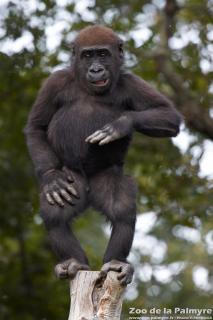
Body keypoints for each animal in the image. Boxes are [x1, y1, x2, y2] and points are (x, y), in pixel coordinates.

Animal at [25, 25, 181, 284]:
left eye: (103, 54)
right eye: (88, 55)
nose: (96, 69)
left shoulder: (131, 82)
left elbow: (168, 115)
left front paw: (121, 125)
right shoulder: (54, 82)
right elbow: (37, 127)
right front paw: (51, 177)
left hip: (105, 177)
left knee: (122, 211)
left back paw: (116, 262)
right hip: (73, 177)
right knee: (55, 215)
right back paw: (74, 261)